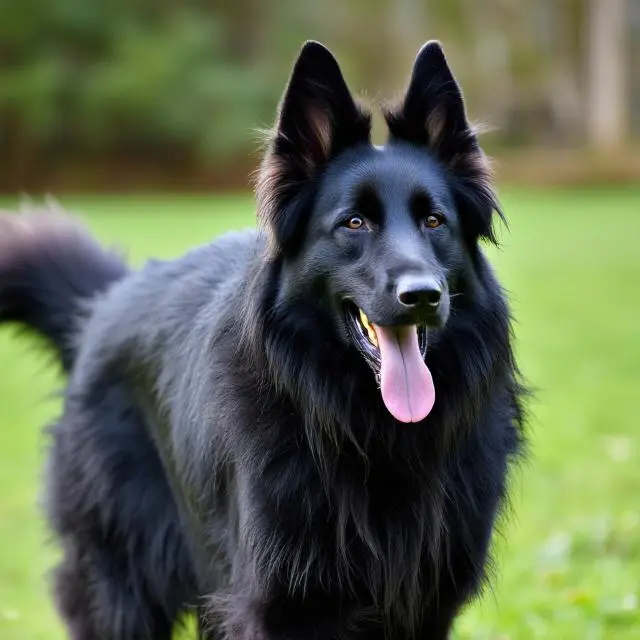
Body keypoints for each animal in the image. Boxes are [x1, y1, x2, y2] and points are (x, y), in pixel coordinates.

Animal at [0, 42, 524, 636]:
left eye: (435, 221)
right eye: (354, 223)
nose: (423, 296)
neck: (370, 432)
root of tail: (102, 303)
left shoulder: (423, 604)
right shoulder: (276, 603)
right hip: (122, 591)